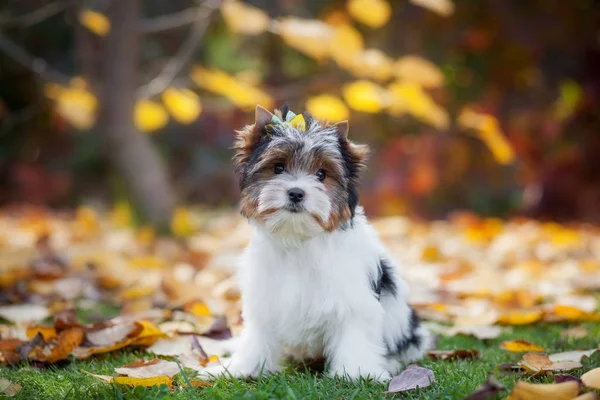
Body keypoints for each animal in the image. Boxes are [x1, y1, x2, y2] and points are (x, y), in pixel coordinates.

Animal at [204, 105, 428, 382]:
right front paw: (242, 369)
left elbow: (354, 333)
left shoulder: (352, 299)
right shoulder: (265, 299)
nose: (296, 193)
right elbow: (258, 337)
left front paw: (356, 373)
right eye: (278, 168)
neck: (298, 238)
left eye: (322, 174)